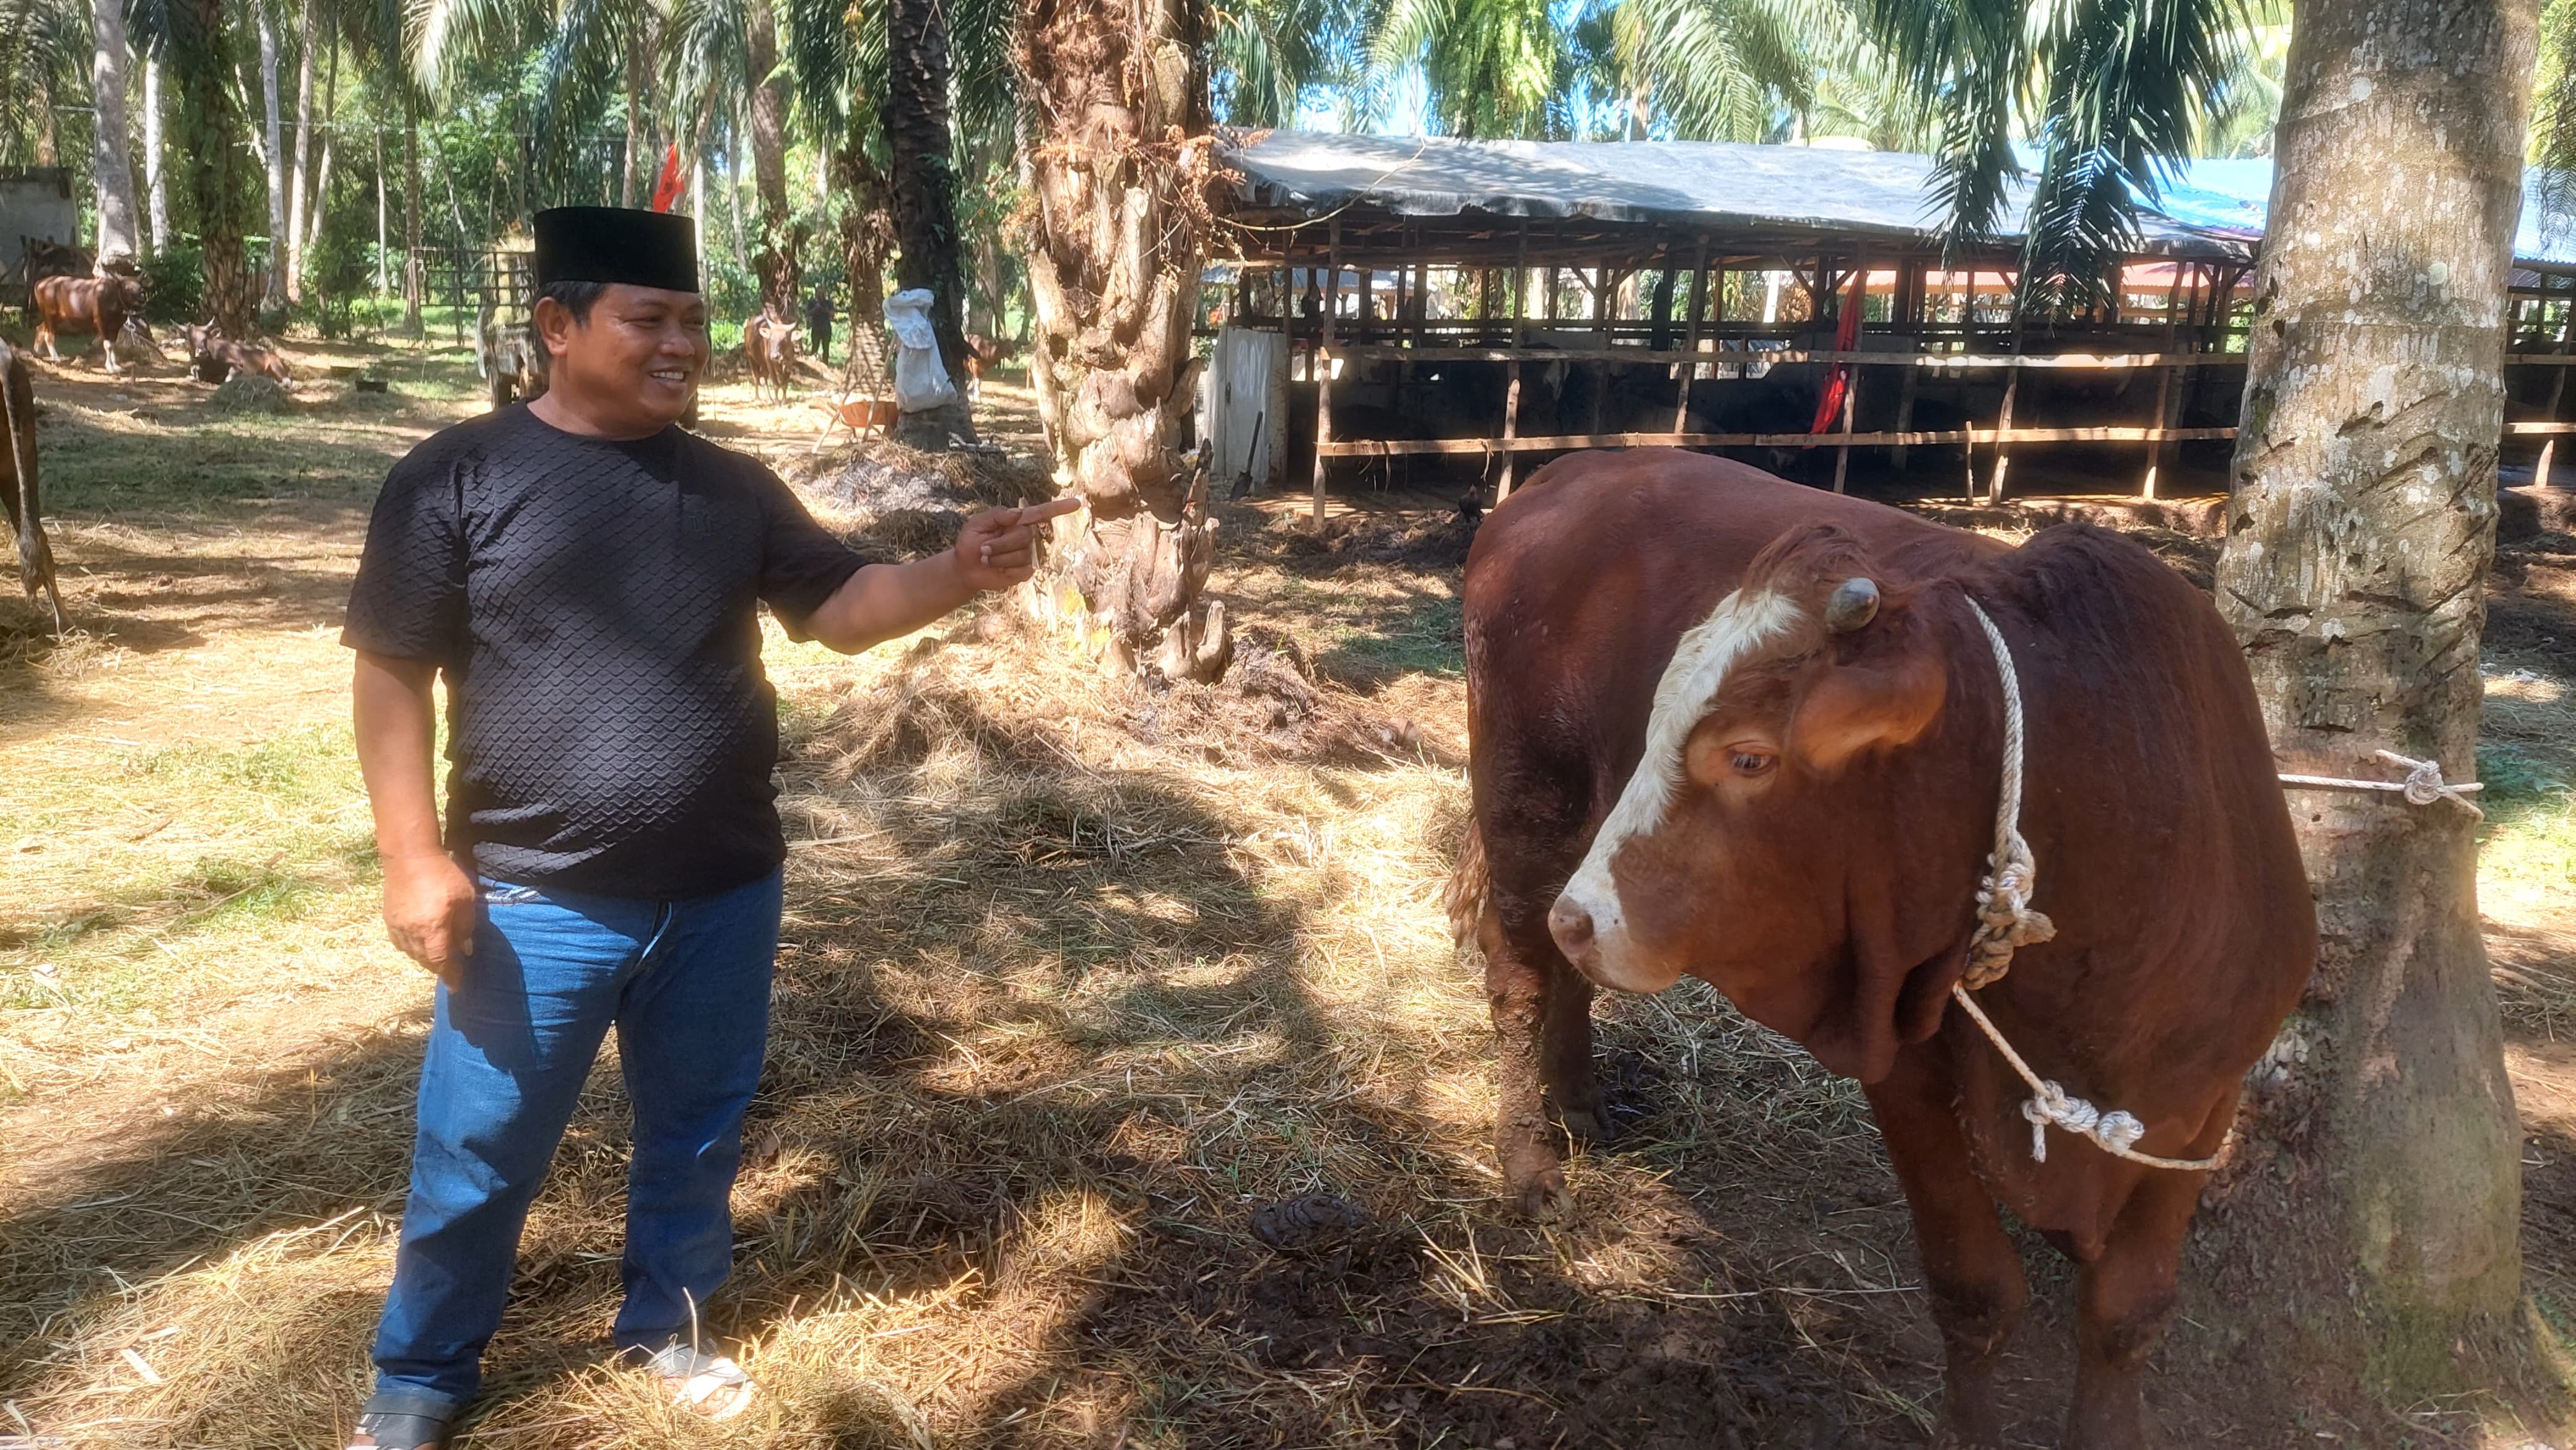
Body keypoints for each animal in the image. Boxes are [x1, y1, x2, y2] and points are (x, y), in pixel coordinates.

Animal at [30, 263, 146, 377]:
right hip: (51, 315)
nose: (140, 300)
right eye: (127, 288)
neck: (115, 300)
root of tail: (39, 283)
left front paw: (116, 366)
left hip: (54, 316)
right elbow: (108, 345)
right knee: (49, 336)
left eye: (140, 288)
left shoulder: (116, 326)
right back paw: (56, 358)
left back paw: (37, 352)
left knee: (40, 328)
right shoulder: (102, 322)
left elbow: (113, 345)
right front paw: (110, 367)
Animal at [744, 310, 799, 403]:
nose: (774, 356)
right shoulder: (769, 363)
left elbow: (784, 384)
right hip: (751, 358)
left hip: (763, 364)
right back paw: (758, 398)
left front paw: (784, 401)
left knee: (763, 378)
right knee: (756, 377)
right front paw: (777, 402)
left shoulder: (790, 363)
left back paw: (769, 399)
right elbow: (776, 384)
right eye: (771, 339)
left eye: (784, 339)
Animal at [1450, 450, 2313, 1448]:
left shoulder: (2209, 1103)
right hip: (1530, 811)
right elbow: (1976, 1292)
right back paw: (1531, 1162)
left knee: (1564, 978)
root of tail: (1569, 472)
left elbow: (2127, 1310)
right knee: (1519, 978)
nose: (1584, 917)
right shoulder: (1906, 1062)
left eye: (1748, 755)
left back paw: (1581, 1099)